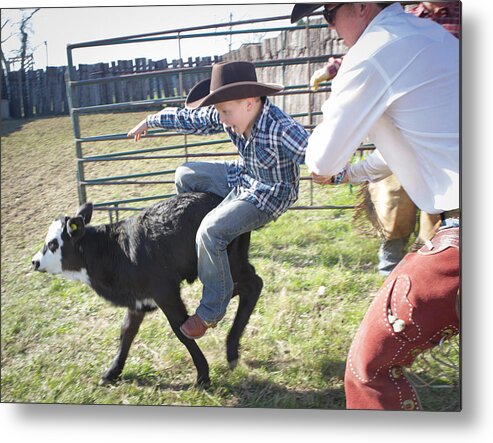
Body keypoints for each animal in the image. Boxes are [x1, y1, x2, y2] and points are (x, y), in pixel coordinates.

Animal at [31, 193, 264, 386]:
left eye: (52, 244)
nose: (34, 262)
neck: (113, 251)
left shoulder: (165, 293)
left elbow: (181, 330)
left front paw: (203, 375)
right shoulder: (138, 300)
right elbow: (126, 332)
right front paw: (112, 372)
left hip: (231, 264)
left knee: (252, 285)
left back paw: (231, 350)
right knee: (244, 287)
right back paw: (231, 346)